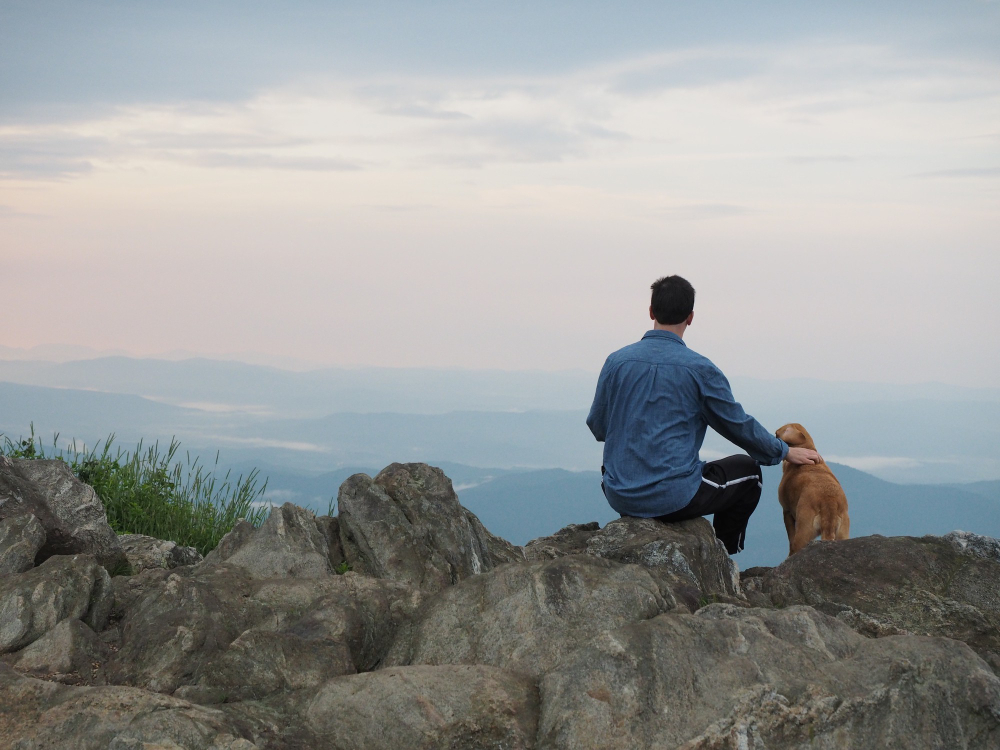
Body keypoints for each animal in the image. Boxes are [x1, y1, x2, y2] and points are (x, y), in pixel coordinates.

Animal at [768, 426, 848, 556]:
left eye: (776, 434)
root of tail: (829, 503)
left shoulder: (787, 511)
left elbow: (790, 538)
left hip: (804, 531)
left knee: (795, 546)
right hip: (843, 534)